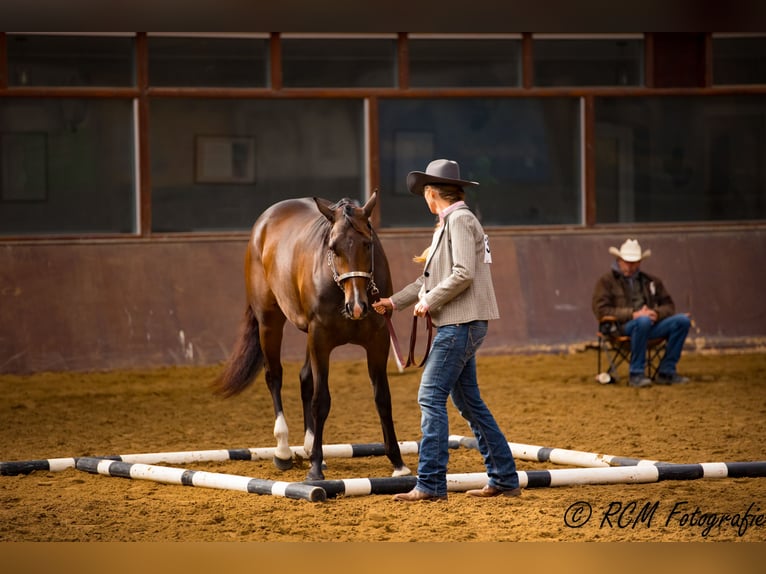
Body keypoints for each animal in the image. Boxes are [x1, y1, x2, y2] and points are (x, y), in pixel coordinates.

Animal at [210, 192, 414, 482]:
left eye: (367, 244)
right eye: (333, 247)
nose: (357, 306)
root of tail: (265, 220)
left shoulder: (378, 340)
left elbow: (382, 399)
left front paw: (398, 463)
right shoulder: (320, 340)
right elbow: (321, 401)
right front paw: (315, 468)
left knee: (305, 378)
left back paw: (307, 446)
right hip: (270, 323)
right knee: (274, 376)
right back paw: (283, 450)